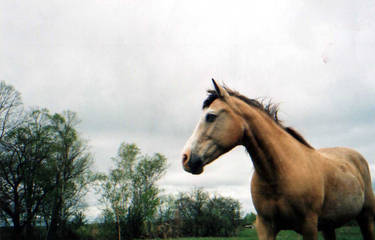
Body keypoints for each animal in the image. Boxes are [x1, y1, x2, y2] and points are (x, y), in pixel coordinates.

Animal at [182, 79, 375, 239]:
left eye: (210, 116)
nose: (185, 158)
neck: (278, 174)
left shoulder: (309, 227)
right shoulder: (265, 226)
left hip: (366, 218)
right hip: (329, 226)